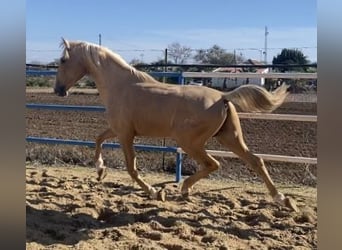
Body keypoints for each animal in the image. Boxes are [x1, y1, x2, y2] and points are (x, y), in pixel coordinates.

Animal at [54, 38, 298, 211]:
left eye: (63, 60)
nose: (58, 90)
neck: (121, 85)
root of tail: (223, 97)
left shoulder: (125, 134)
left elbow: (132, 168)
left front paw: (156, 193)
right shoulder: (117, 130)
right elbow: (98, 140)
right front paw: (100, 171)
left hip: (191, 142)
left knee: (213, 164)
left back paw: (185, 188)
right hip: (229, 137)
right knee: (256, 161)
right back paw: (284, 200)